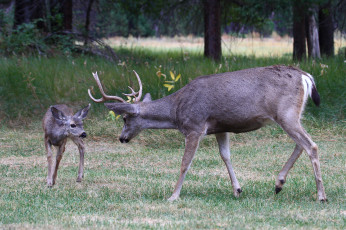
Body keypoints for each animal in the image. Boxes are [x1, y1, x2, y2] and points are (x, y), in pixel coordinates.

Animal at [88, 65, 326, 202]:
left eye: (125, 118)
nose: (122, 138)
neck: (176, 110)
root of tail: (306, 76)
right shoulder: (221, 127)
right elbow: (225, 156)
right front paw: (237, 190)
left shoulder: (195, 127)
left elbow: (185, 163)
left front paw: (173, 196)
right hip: (293, 114)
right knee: (301, 144)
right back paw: (278, 184)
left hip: (286, 113)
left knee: (311, 145)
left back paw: (320, 196)